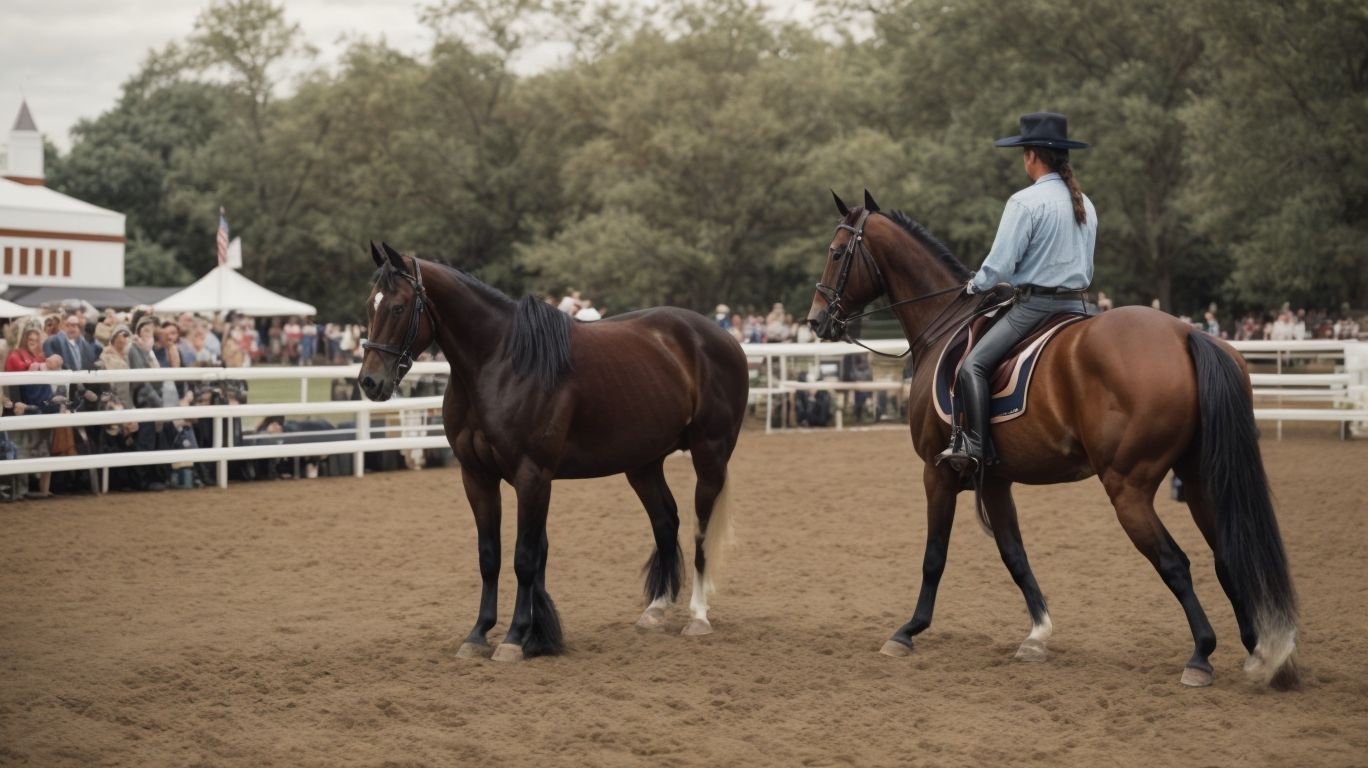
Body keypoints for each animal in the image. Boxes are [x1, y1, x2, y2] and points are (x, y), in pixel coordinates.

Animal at [359, 242, 749, 661]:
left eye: (398, 307)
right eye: (370, 305)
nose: (370, 381)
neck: (499, 363)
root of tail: (722, 338)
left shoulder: (533, 476)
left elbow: (526, 557)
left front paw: (517, 637)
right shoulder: (477, 476)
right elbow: (491, 555)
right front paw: (482, 634)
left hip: (709, 454)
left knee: (701, 527)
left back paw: (698, 616)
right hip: (643, 464)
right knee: (665, 522)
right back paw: (655, 611)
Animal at [806, 192, 1298, 689]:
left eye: (836, 253)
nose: (816, 320)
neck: (944, 325)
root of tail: (1187, 333)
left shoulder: (936, 473)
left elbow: (934, 556)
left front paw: (908, 631)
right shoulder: (995, 480)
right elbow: (1014, 554)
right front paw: (1037, 635)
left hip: (1128, 488)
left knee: (1175, 562)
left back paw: (1202, 654)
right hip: (1198, 479)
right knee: (1228, 556)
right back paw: (1262, 652)